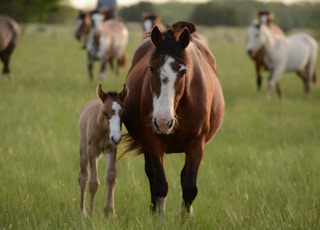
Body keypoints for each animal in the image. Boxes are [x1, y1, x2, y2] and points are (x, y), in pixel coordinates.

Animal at [77, 84, 127, 217]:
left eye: (123, 112)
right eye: (105, 112)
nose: (116, 137)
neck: (104, 130)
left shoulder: (111, 149)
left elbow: (111, 177)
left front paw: (110, 211)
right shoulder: (92, 151)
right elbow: (93, 182)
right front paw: (90, 214)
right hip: (83, 150)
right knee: (83, 176)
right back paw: (82, 212)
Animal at [121, 20, 224, 217]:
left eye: (183, 71)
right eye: (151, 68)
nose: (163, 122)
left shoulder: (197, 143)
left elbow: (189, 186)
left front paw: (185, 218)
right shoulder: (153, 141)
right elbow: (160, 184)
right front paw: (159, 218)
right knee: (151, 175)